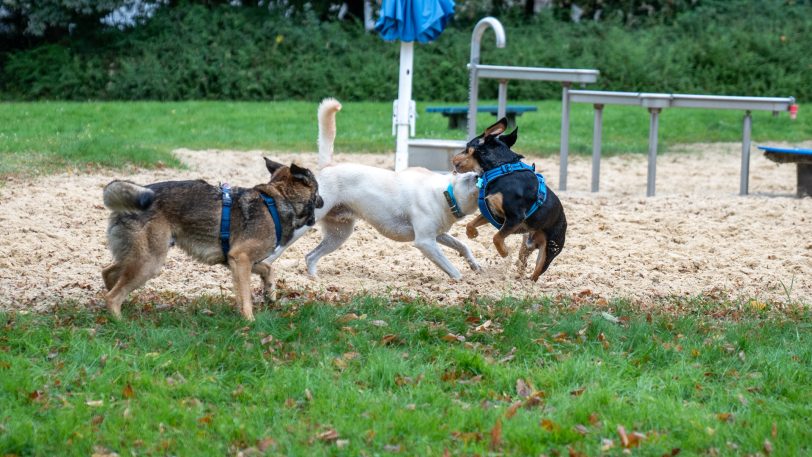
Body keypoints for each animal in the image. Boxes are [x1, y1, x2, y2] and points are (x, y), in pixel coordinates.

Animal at [98, 159, 320, 318]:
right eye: (317, 190)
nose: (322, 201)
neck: (277, 199)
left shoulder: (238, 260)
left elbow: (267, 270)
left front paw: (269, 293)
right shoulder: (240, 258)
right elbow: (246, 296)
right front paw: (249, 322)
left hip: (139, 256)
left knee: (108, 273)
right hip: (149, 262)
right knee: (112, 296)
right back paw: (120, 322)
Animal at [266, 98, 482, 280]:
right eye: (470, 179)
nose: (479, 175)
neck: (445, 193)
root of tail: (328, 167)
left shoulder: (437, 235)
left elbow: (462, 245)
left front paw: (475, 265)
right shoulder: (425, 242)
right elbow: (452, 269)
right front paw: (462, 281)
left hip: (339, 234)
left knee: (310, 256)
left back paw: (314, 279)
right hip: (304, 227)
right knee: (275, 251)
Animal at [450, 117, 564, 282]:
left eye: (466, 148)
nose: (453, 158)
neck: (501, 168)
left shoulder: (515, 217)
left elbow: (496, 237)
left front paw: (504, 252)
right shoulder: (492, 212)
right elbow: (470, 223)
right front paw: (472, 234)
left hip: (550, 250)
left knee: (536, 273)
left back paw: (527, 283)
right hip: (526, 245)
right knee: (523, 263)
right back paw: (518, 277)